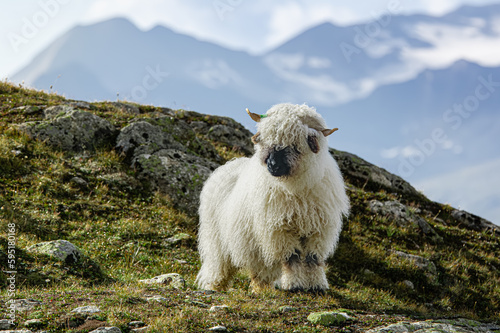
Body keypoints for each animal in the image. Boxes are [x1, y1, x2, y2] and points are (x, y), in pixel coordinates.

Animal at [195, 102, 348, 292]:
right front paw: (295, 284)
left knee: (261, 272)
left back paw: (262, 289)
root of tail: (230, 164)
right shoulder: (279, 229)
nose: (273, 165)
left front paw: (316, 285)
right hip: (217, 240)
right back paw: (213, 287)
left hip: (257, 248)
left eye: (294, 143)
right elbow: (292, 257)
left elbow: (312, 258)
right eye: (265, 140)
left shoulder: (318, 230)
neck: (295, 188)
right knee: (219, 267)